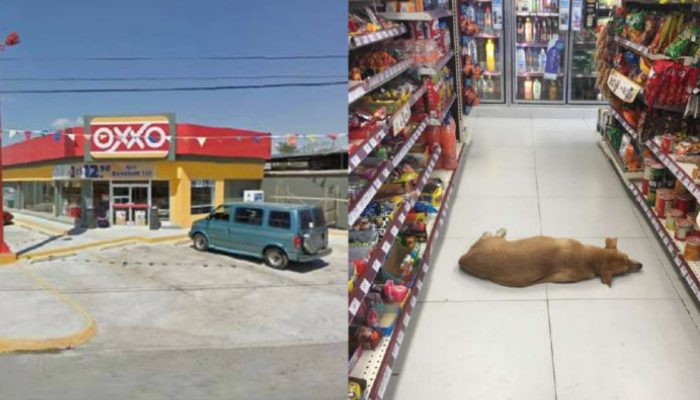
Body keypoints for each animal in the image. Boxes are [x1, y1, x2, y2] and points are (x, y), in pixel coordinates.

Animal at [456, 228, 644, 288]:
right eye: (626, 268)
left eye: (628, 258)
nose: (641, 265)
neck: (592, 259)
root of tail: (463, 259)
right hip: (493, 240)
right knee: (489, 233)